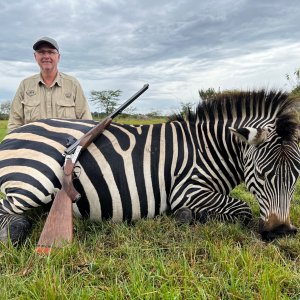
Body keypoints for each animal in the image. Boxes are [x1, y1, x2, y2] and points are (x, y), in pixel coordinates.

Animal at [0, 89, 298, 244]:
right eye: (261, 175)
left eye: (296, 179)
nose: (281, 232)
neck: (208, 148)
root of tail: (14, 132)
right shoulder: (186, 190)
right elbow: (242, 208)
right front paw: (188, 216)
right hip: (35, 181)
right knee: (7, 209)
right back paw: (15, 232)